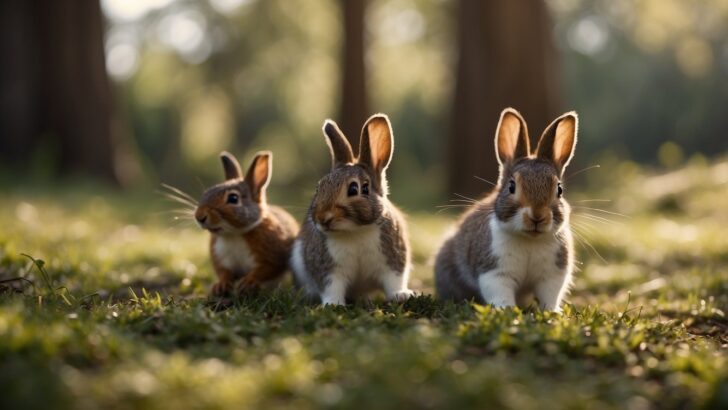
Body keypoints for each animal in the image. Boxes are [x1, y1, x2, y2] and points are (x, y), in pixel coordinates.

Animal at [193, 150, 298, 294]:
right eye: (206, 192)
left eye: (233, 198)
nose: (199, 217)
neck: (234, 234)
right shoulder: (221, 257)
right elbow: (224, 273)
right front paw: (221, 285)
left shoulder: (271, 257)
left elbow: (264, 270)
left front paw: (248, 283)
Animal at [290, 113, 416, 306]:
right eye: (319, 187)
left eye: (355, 189)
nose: (322, 218)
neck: (355, 230)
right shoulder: (328, 268)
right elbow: (331, 286)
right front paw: (333, 304)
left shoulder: (393, 259)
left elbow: (394, 280)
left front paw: (401, 295)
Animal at [436, 107, 576, 312]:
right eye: (511, 187)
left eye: (559, 189)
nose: (537, 216)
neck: (529, 239)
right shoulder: (495, 272)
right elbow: (500, 292)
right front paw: (507, 310)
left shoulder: (552, 274)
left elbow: (549, 295)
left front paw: (552, 312)